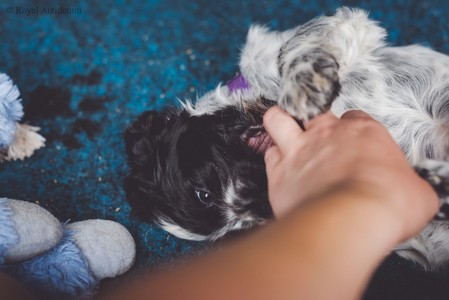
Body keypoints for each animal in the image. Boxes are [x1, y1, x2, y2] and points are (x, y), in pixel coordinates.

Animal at [123, 7, 449, 270]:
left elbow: (292, 50)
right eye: (245, 229)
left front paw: (305, 86)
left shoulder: (329, 32)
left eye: (203, 194)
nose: (262, 202)